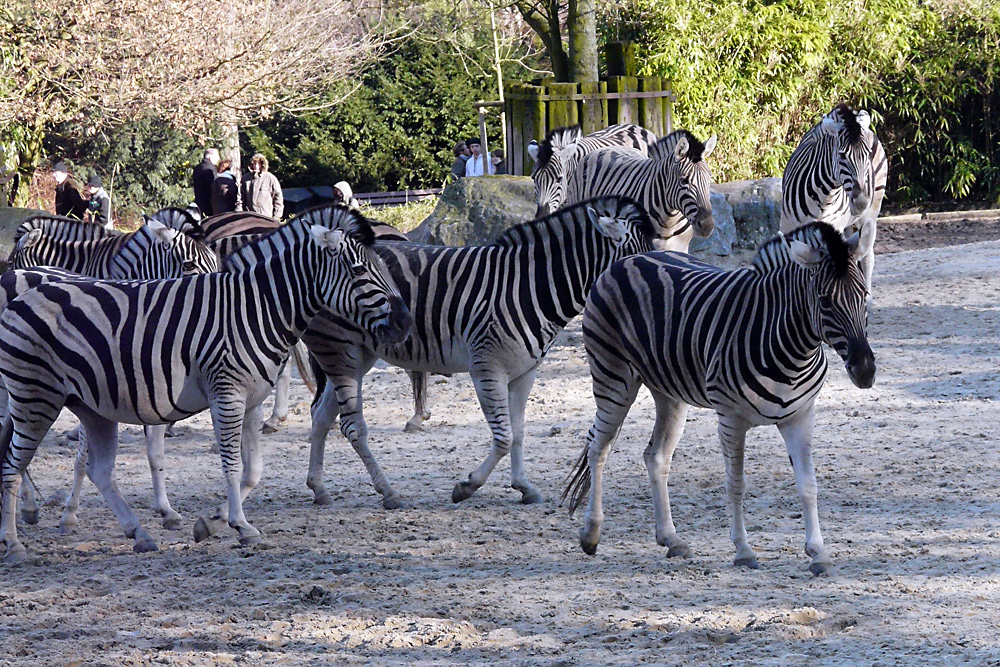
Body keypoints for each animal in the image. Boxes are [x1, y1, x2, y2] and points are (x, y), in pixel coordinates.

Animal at [0, 209, 410, 564]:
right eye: (359, 270)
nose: (405, 322)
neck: (256, 309)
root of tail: (20, 296)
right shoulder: (225, 395)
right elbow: (229, 464)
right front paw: (239, 525)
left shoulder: (252, 401)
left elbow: (252, 469)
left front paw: (213, 522)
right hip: (34, 398)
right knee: (11, 466)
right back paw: (15, 543)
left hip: (88, 407)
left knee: (99, 469)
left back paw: (138, 534)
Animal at [564, 222, 876, 576]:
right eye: (824, 301)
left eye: (864, 295)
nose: (866, 371)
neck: (790, 345)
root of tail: (628, 258)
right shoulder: (731, 419)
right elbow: (736, 484)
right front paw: (743, 550)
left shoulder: (801, 417)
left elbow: (808, 485)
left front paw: (818, 553)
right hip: (613, 380)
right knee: (598, 448)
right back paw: (591, 533)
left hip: (669, 392)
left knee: (655, 457)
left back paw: (671, 539)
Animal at [780, 103, 892, 296]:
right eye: (842, 155)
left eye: (867, 155)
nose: (861, 202)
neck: (823, 198)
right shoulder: (789, 227)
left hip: (871, 213)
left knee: (867, 256)